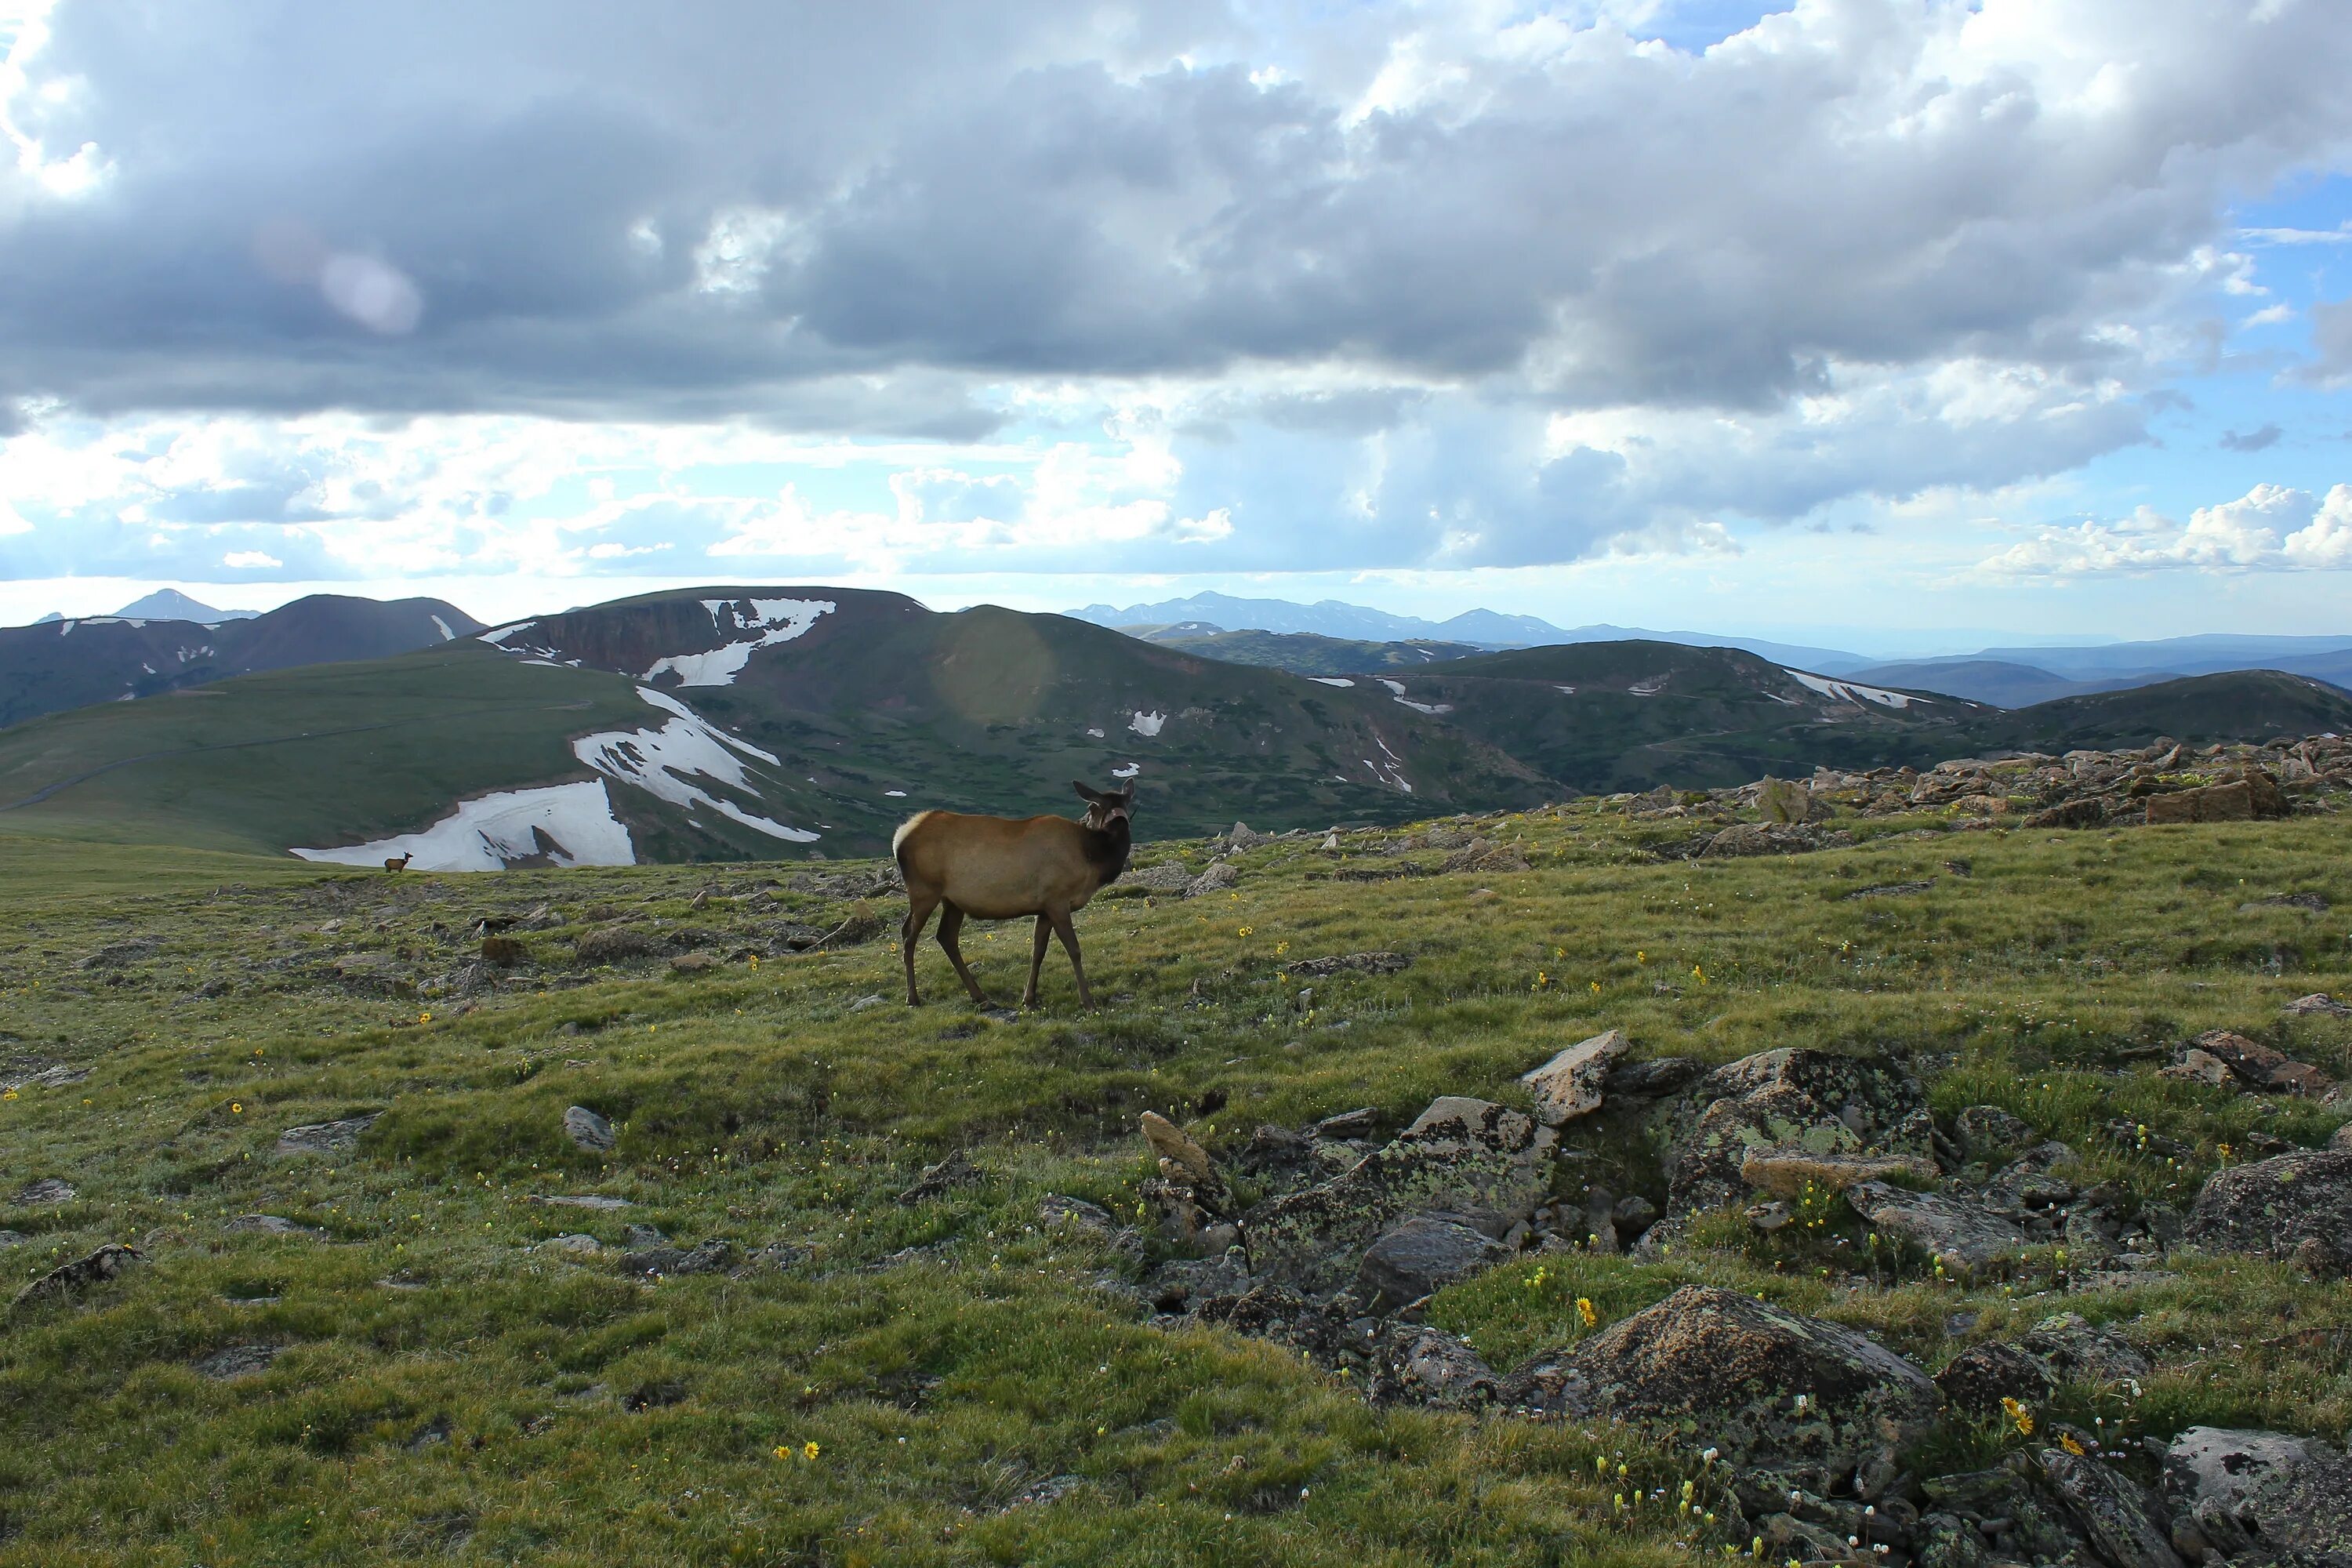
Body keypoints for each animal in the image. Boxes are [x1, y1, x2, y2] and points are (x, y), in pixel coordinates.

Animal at [889, 780, 1129, 1011]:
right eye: (1091, 807)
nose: (1083, 820)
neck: (1091, 858)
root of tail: (899, 837)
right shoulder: (1057, 900)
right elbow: (1074, 949)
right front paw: (1087, 1001)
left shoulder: (1044, 907)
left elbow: (1038, 951)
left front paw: (1029, 999)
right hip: (925, 890)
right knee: (909, 936)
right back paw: (913, 998)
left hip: (952, 901)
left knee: (944, 937)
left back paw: (981, 998)